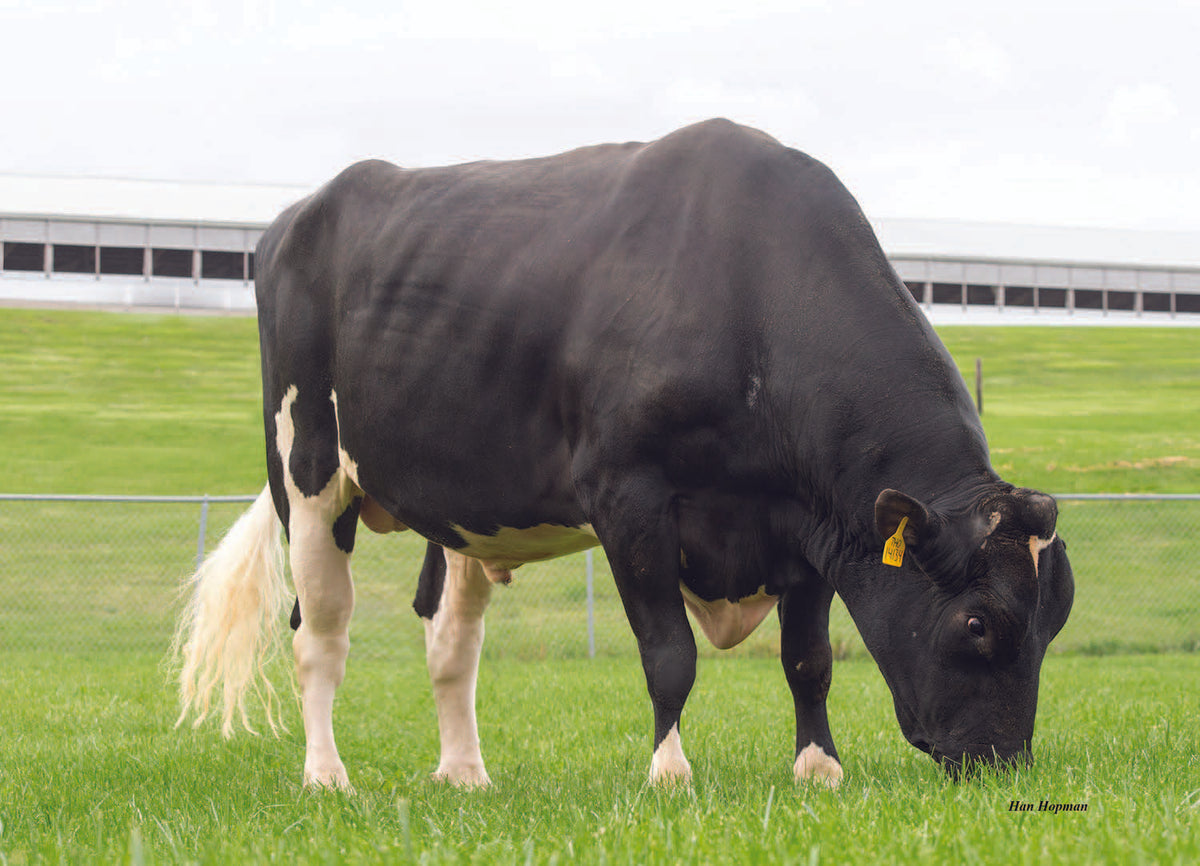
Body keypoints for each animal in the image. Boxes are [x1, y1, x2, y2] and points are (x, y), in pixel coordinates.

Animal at [174, 119, 1074, 791]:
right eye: (977, 622)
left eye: (1054, 621)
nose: (1005, 764)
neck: (748, 295)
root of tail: (299, 215)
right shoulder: (629, 497)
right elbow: (669, 655)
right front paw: (669, 772)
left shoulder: (814, 520)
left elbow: (809, 658)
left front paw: (819, 768)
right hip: (309, 475)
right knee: (320, 635)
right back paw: (327, 775)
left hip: (460, 506)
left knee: (450, 644)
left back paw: (465, 774)